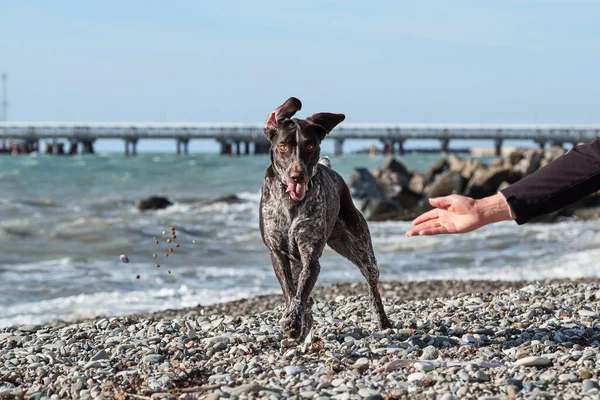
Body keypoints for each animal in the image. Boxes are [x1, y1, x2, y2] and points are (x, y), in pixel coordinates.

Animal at [258, 97, 394, 340]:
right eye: (283, 146)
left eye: (310, 146)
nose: (297, 175)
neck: (289, 200)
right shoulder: (278, 253)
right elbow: (292, 291)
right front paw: (295, 319)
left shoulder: (311, 255)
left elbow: (301, 291)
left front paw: (294, 321)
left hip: (363, 250)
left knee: (372, 285)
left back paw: (383, 321)